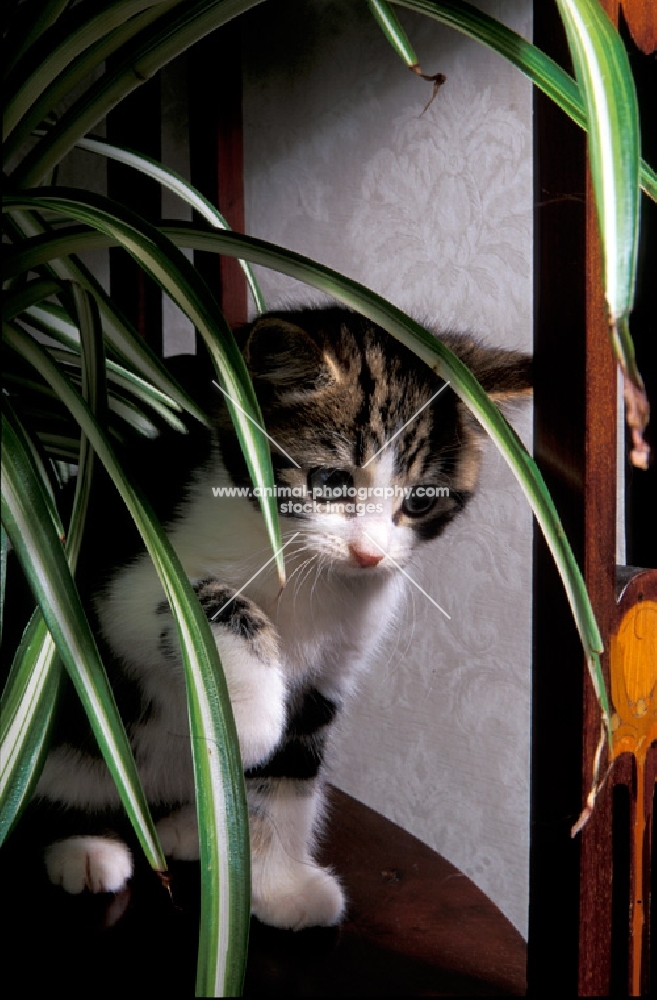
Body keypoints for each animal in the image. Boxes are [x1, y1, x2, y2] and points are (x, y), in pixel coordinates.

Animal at [32, 304, 532, 928]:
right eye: (330, 482)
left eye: (419, 500)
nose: (369, 554)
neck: (306, 569)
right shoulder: (122, 571)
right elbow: (205, 600)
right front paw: (249, 716)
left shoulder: (334, 666)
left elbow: (290, 769)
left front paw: (278, 887)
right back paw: (84, 846)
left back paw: (188, 830)